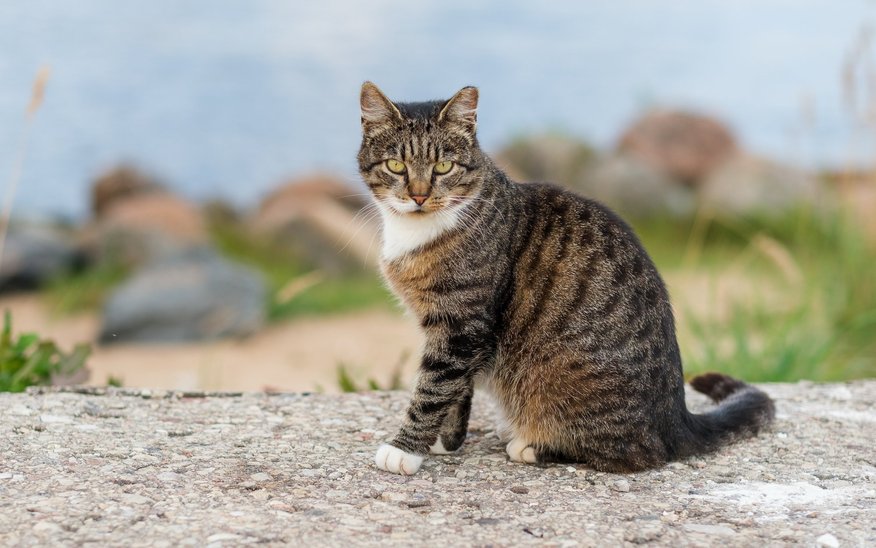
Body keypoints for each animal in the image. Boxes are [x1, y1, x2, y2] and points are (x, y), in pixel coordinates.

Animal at [356, 80, 772, 476]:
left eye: (443, 168)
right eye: (395, 166)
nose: (419, 196)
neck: (417, 231)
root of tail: (677, 422)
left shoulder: (462, 325)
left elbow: (434, 388)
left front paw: (406, 449)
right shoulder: (453, 331)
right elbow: (456, 391)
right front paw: (446, 441)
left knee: (635, 454)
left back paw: (532, 445)